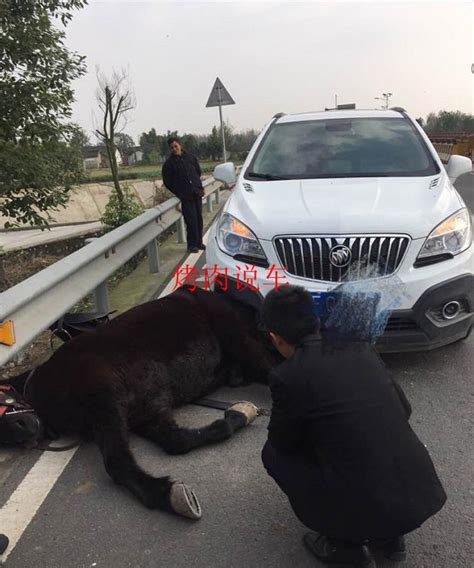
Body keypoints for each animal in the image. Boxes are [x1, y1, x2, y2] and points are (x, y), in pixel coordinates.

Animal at [4, 288, 274, 520]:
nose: (23, 428)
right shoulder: (146, 414)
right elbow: (178, 441)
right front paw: (238, 416)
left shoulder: (105, 400)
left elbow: (117, 464)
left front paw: (165, 495)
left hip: (239, 338)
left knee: (270, 369)